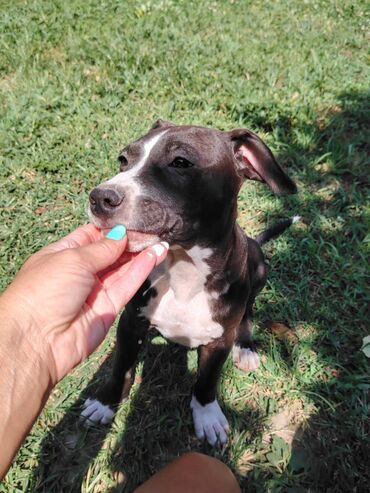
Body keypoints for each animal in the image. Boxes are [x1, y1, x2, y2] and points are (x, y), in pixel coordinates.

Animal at [81, 120, 298, 446]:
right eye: (123, 160)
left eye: (181, 162)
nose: (100, 198)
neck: (183, 266)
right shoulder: (131, 322)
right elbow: (121, 366)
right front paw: (105, 402)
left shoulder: (220, 340)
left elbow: (207, 380)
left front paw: (207, 415)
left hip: (259, 267)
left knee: (249, 310)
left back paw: (246, 348)